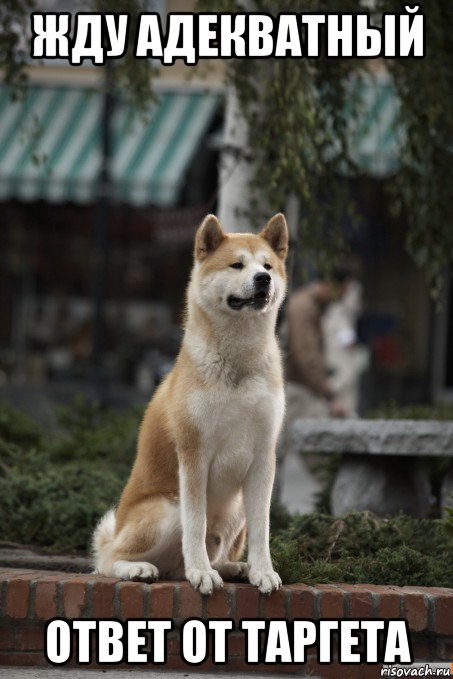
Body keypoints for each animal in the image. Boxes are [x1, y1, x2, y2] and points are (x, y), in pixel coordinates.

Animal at [93, 212, 288, 596]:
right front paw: (201, 573)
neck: (237, 364)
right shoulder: (194, 454)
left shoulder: (263, 457)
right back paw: (142, 568)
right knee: (108, 560)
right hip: (167, 508)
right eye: (237, 264)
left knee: (203, 558)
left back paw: (235, 568)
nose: (263, 279)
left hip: (236, 509)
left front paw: (263, 571)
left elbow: (262, 530)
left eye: (268, 266)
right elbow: (195, 526)